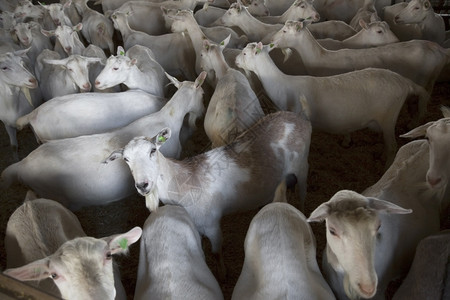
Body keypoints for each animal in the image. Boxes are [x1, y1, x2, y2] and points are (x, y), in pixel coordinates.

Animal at [103, 110, 312, 278]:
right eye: (126, 159)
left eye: (153, 150)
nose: (143, 185)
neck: (182, 183)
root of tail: (297, 118)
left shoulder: (212, 224)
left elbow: (216, 251)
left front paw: (223, 274)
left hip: (302, 167)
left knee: (302, 193)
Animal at [236, 41, 428, 166]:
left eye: (245, 53)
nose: (236, 61)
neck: (280, 83)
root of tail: (403, 81)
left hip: (388, 117)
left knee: (392, 146)